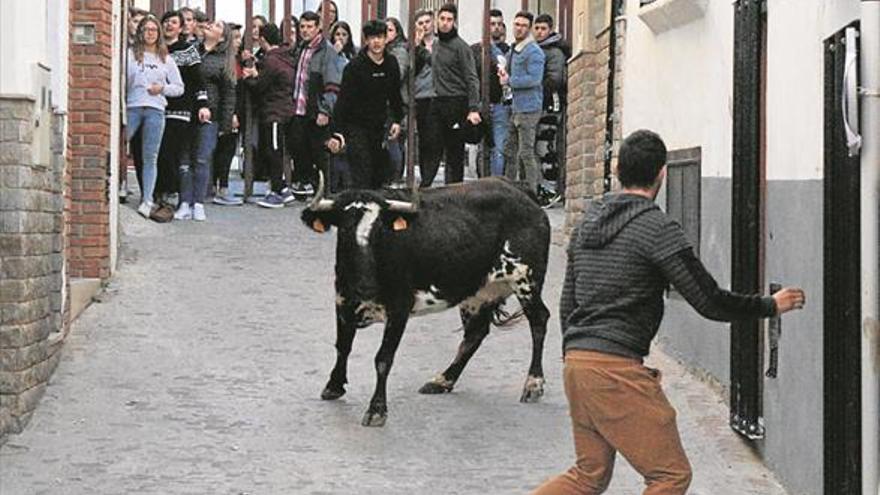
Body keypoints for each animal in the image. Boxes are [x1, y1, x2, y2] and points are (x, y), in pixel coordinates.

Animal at [302, 177, 552, 426]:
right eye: (344, 228)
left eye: (379, 230)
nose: (364, 286)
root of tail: (519, 189)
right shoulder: (343, 301)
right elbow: (343, 346)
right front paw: (334, 386)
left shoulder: (399, 308)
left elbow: (383, 358)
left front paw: (377, 409)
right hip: (477, 293)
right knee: (475, 333)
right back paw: (443, 380)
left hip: (526, 280)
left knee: (539, 320)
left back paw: (533, 384)